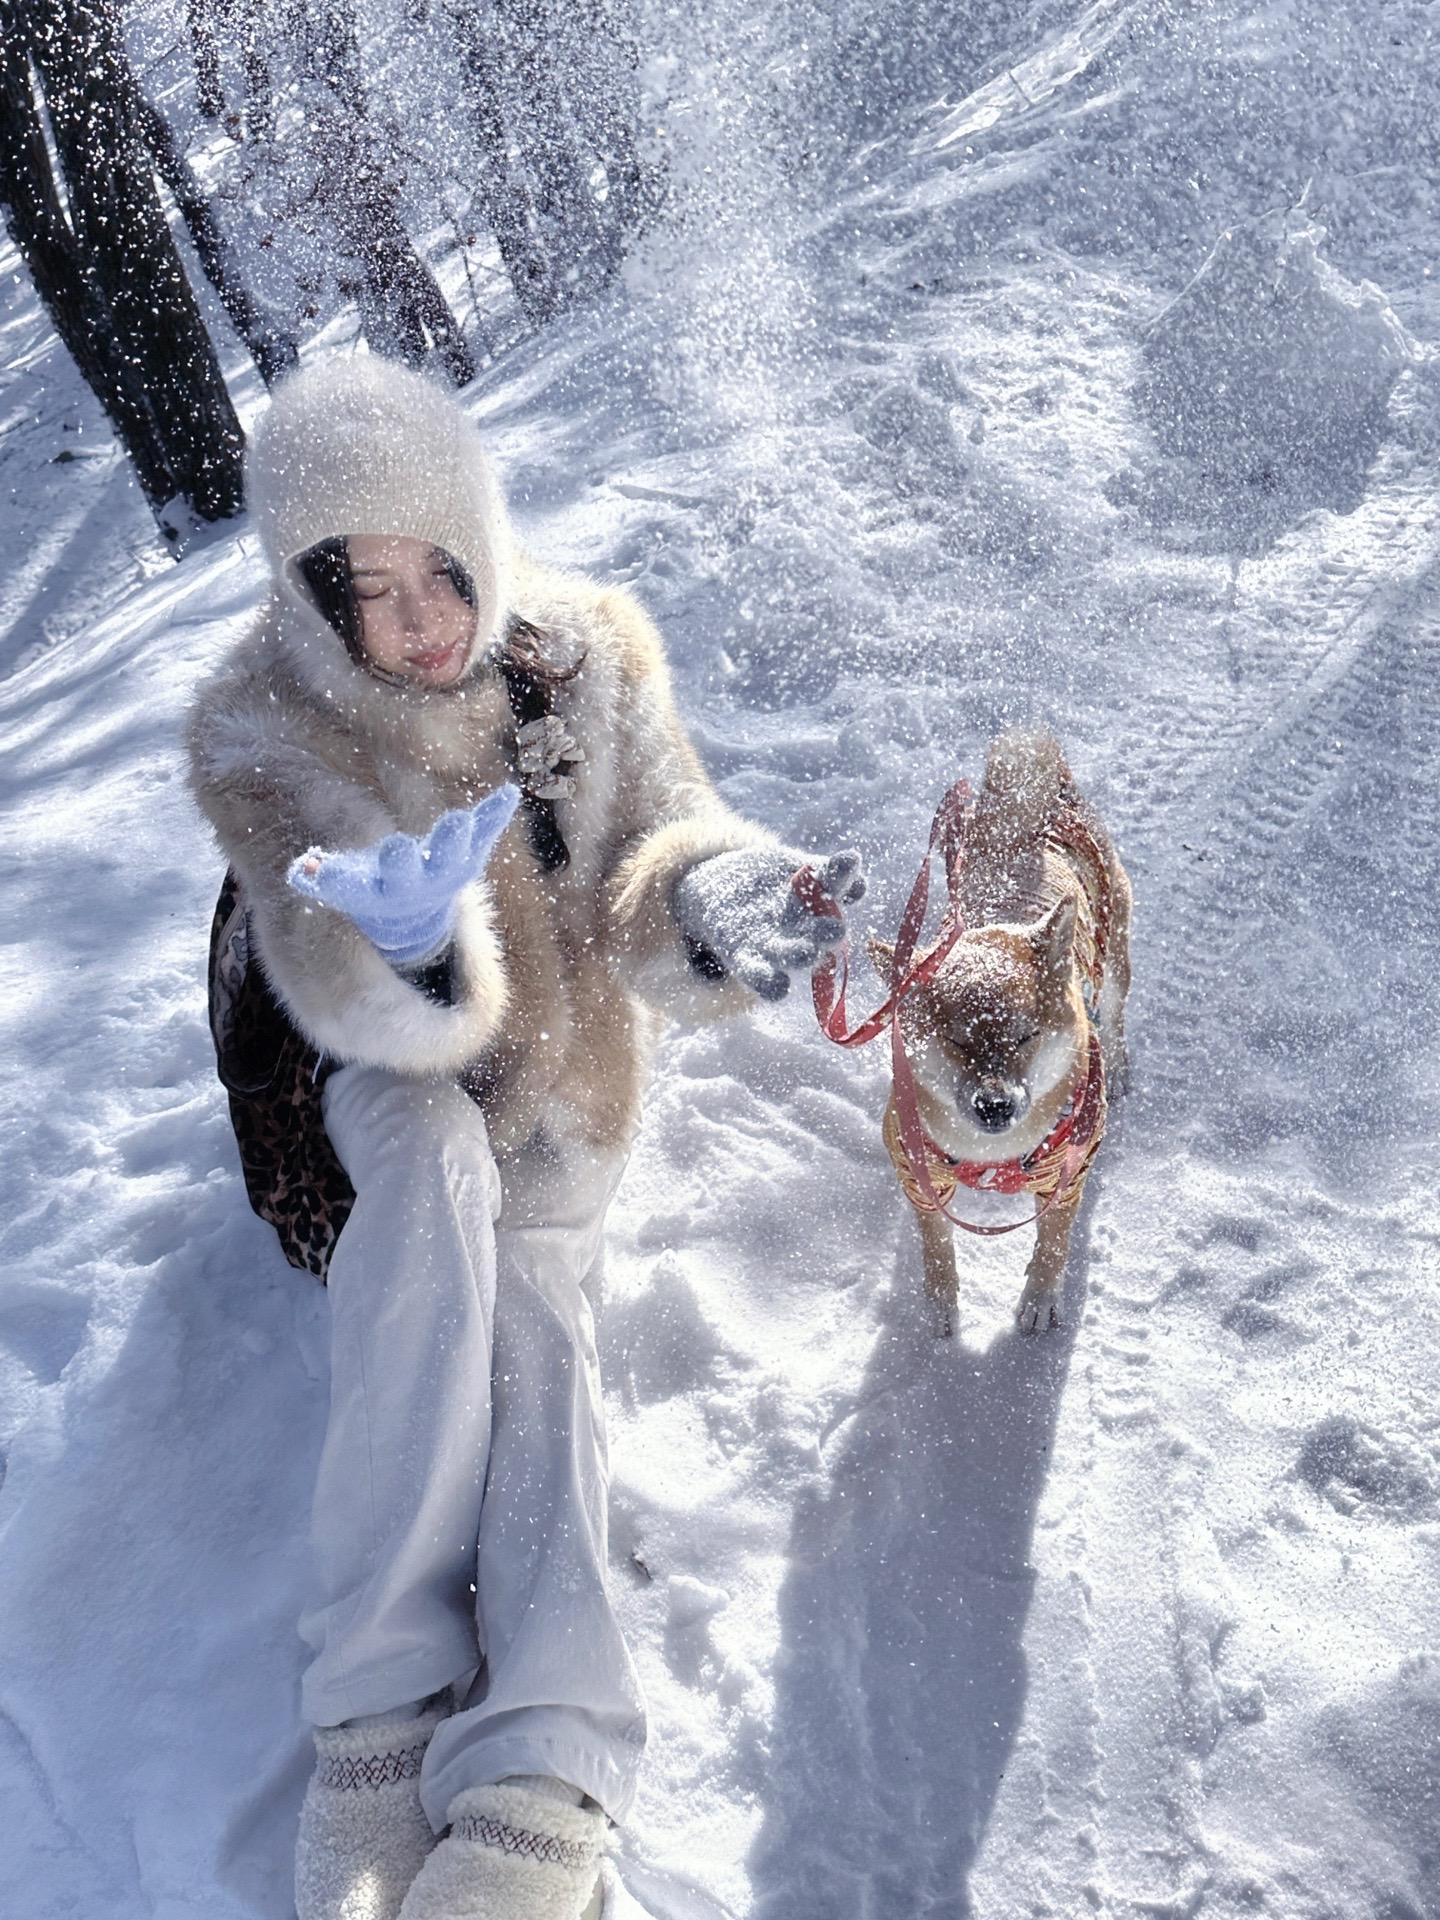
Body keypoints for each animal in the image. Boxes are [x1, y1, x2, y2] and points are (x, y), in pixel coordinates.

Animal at [875, 729, 1136, 1336]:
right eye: (957, 1041)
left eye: (1024, 1037)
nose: (994, 1105)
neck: (992, 1158)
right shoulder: (917, 1169)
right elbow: (936, 1246)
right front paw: (940, 1306)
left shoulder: (1067, 1170)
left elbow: (1053, 1245)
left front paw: (1039, 1300)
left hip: (1112, 949)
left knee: (1113, 1013)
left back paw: (1119, 1064)